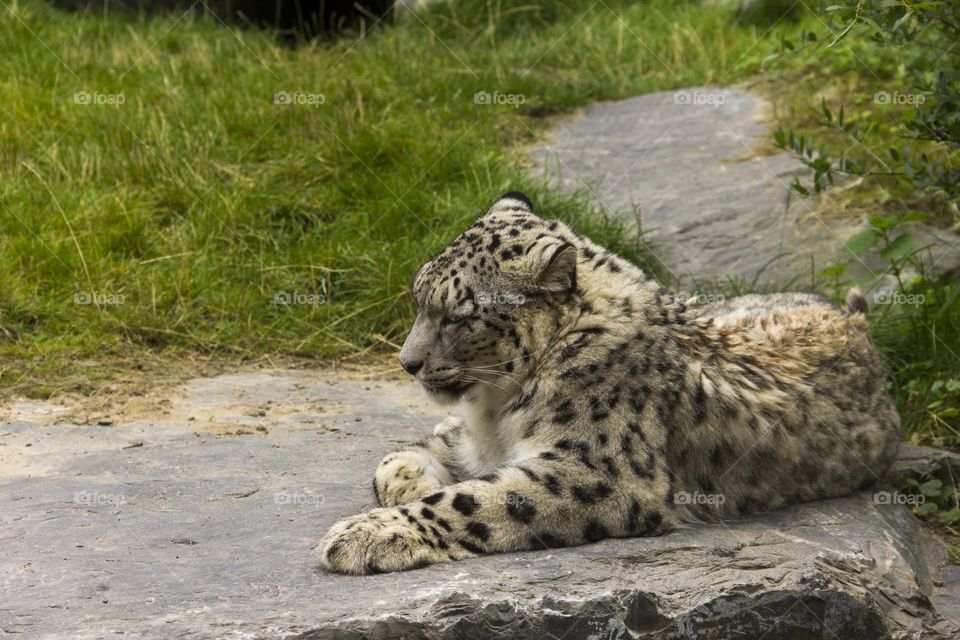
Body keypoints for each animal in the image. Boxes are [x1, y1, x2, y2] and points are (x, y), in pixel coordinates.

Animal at [318, 191, 901, 575]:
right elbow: (399, 457)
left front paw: (366, 533)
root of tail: (858, 321)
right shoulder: (469, 440)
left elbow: (473, 502)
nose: (407, 362)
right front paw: (409, 486)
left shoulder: (596, 471)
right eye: (418, 299)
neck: (495, 411)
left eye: (460, 315)